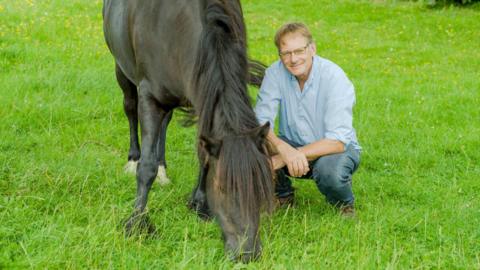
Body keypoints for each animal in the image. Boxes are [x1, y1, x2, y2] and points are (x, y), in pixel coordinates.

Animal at [101, 0, 276, 262]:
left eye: (259, 186)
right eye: (222, 187)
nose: (247, 253)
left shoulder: (202, 96)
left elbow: (203, 155)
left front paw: (200, 204)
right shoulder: (149, 97)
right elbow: (146, 168)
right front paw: (137, 223)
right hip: (121, 69)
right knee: (130, 108)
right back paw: (132, 159)